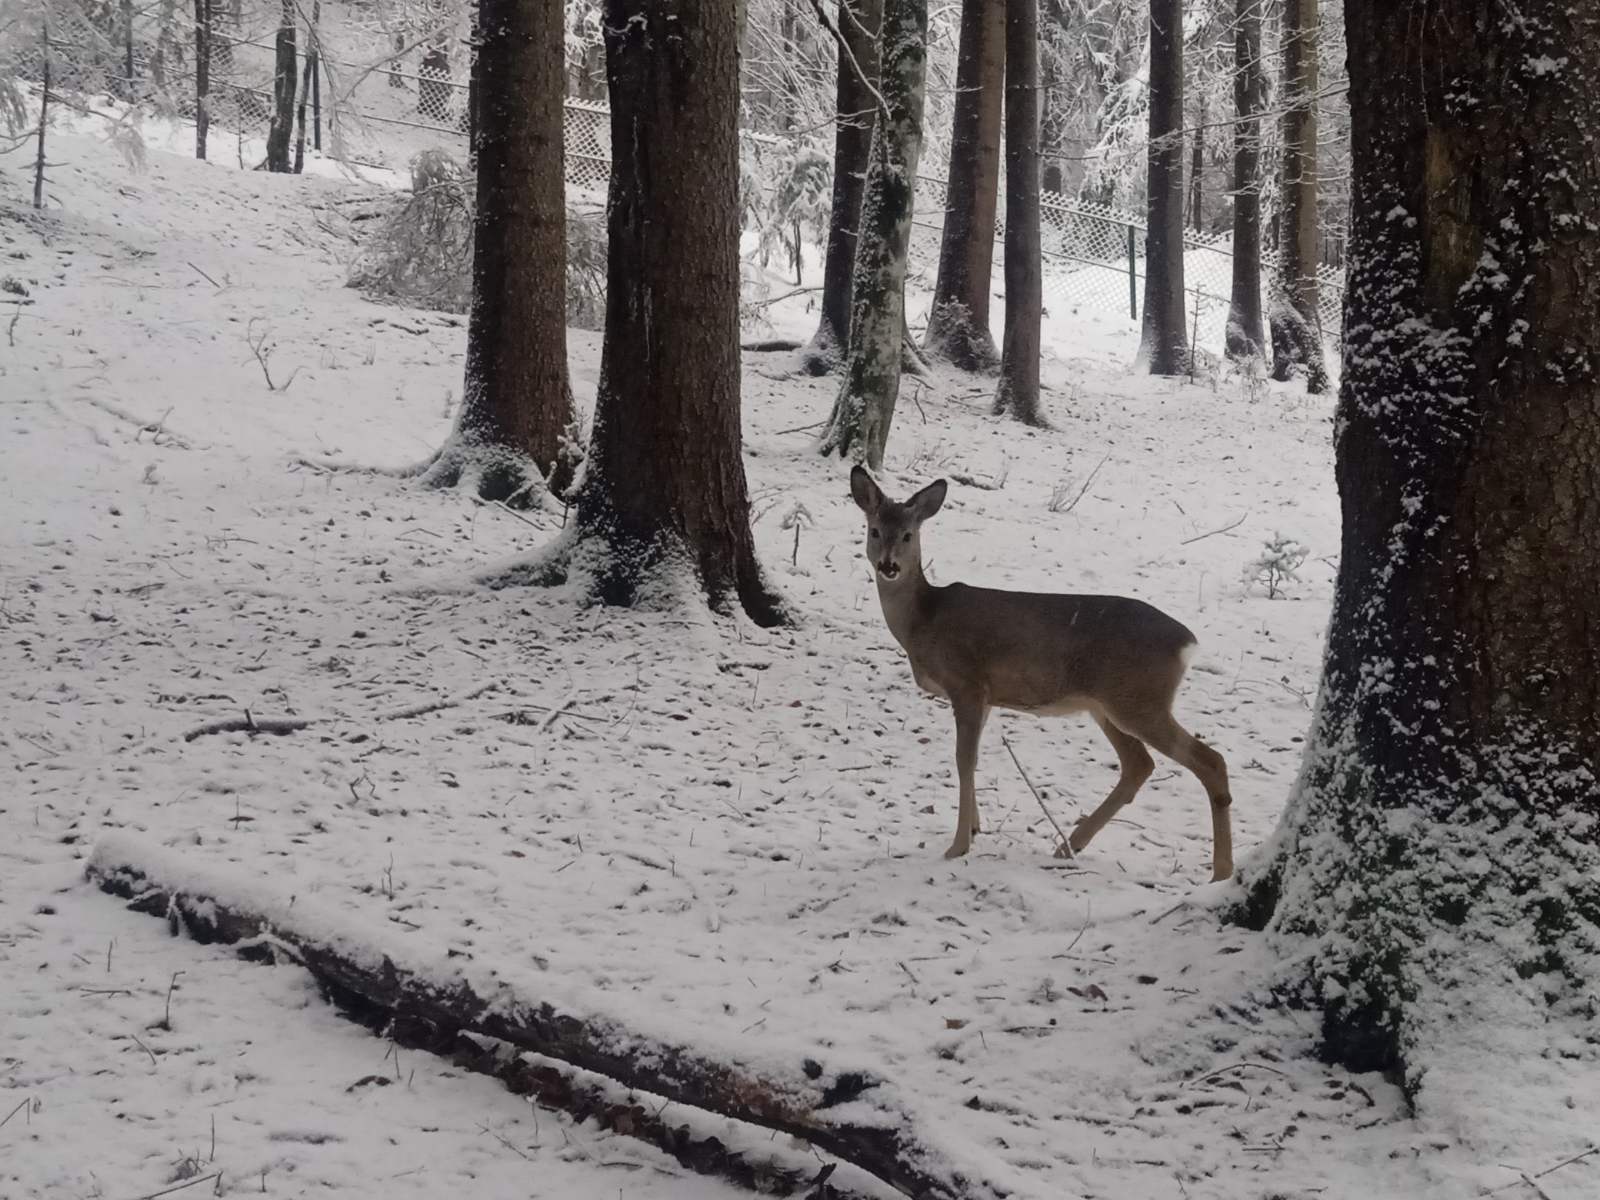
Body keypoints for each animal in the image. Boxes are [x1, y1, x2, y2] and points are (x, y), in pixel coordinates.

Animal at [851, 467, 1235, 883]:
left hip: (1140, 700)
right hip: (1108, 705)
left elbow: (962, 759)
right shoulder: (987, 695)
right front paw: (975, 828)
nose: (889, 566)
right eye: (875, 530)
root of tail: (1187, 642)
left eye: (908, 535)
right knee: (1139, 764)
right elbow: (973, 758)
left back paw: (1221, 872)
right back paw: (1069, 845)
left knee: (1210, 761)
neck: (923, 620)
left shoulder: (966, 682)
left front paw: (958, 846)